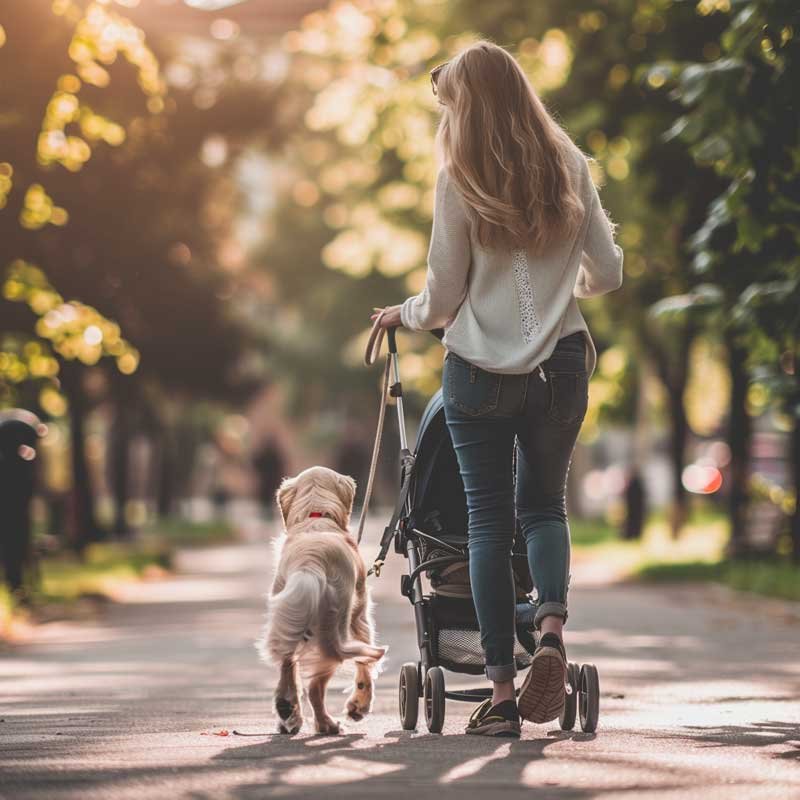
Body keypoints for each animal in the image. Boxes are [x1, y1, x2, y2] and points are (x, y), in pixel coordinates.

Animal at [258, 466, 386, 736]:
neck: (315, 516)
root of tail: (310, 564)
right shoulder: (361, 615)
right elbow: (364, 668)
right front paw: (359, 706)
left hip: (289, 616)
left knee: (289, 667)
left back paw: (288, 713)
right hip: (335, 627)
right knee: (317, 686)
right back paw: (327, 723)